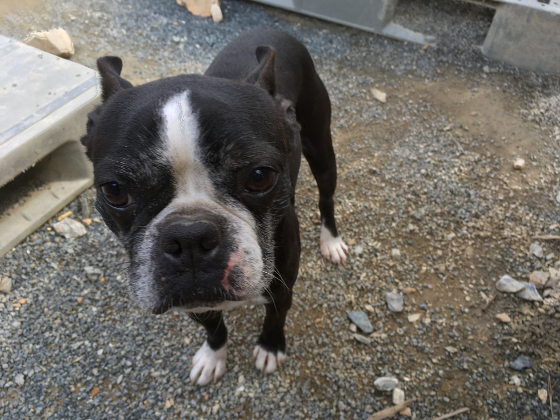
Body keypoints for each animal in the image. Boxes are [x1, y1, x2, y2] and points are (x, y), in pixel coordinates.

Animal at [81, 28, 348, 385]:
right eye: (115, 191)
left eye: (260, 176)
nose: (190, 236)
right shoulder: (194, 303)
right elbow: (214, 327)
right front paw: (213, 356)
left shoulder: (282, 288)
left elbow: (275, 318)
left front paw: (270, 348)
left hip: (321, 149)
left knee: (326, 197)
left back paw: (331, 241)